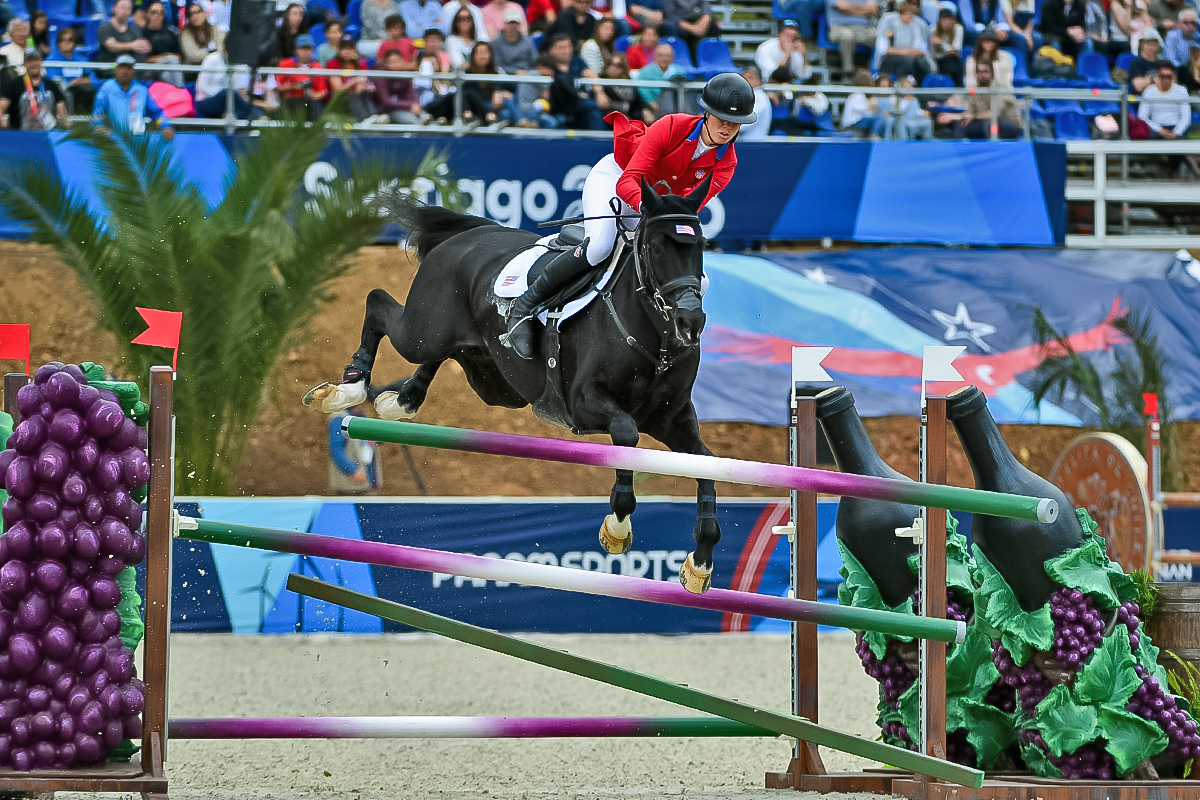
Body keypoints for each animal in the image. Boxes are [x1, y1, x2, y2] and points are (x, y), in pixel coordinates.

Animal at [304, 177, 723, 594]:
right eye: (656, 247)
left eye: (700, 246)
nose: (690, 322)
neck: (657, 337)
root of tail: (471, 234)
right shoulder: (586, 402)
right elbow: (626, 434)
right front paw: (617, 524)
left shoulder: (672, 420)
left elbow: (706, 463)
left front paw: (701, 559)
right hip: (424, 332)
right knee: (378, 304)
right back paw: (348, 389)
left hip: (492, 381)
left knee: (448, 354)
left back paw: (404, 397)